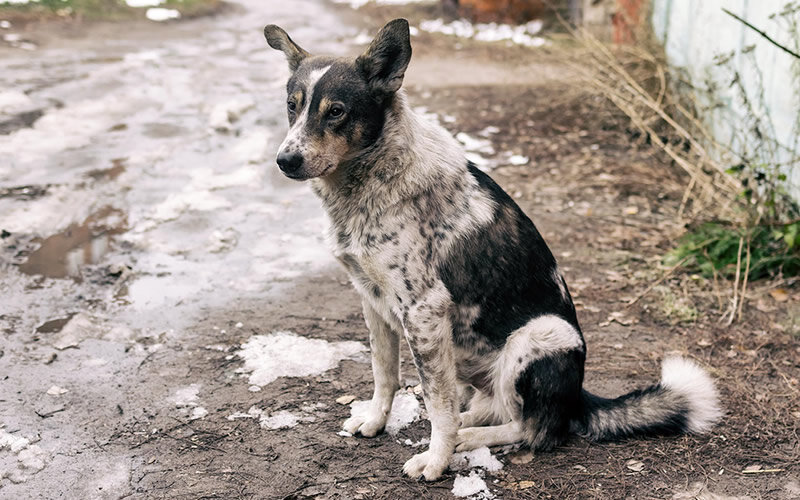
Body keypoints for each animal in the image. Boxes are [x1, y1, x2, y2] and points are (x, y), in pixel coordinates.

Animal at [262, 18, 720, 480]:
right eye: (292, 106)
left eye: (336, 111)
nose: (285, 161)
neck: (367, 184)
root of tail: (578, 399)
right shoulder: (373, 301)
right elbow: (384, 375)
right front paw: (377, 421)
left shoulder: (423, 310)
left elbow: (438, 403)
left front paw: (437, 459)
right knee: (487, 407)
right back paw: (465, 425)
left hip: (540, 335)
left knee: (532, 428)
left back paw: (468, 438)